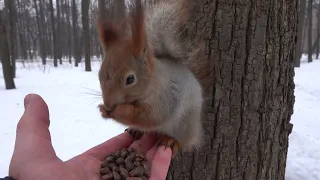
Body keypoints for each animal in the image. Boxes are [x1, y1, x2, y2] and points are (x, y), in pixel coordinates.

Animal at [96, 0, 210, 157]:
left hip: (185, 124)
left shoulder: (166, 97)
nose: (108, 105)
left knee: (185, 140)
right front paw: (103, 110)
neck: (153, 82)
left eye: (130, 79)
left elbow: (151, 117)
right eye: (99, 75)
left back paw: (171, 141)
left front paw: (120, 111)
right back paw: (136, 130)